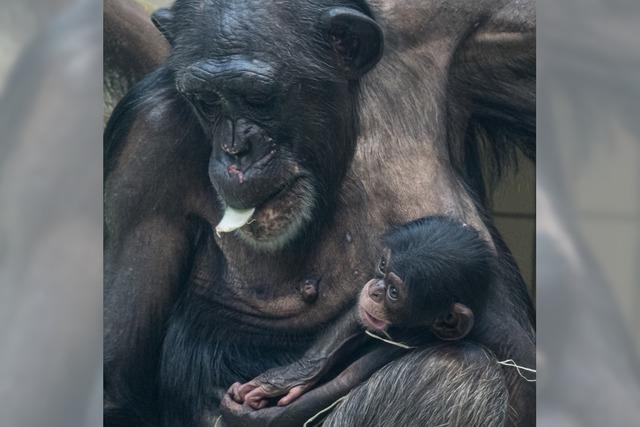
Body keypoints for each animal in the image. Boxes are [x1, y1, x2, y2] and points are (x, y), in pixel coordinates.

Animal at [104, 0, 536, 427]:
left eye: (257, 98)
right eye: (207, 102)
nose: (235, 151)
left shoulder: (459, 33)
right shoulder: (147, 141)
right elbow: (117, 383)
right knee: (453, 369)